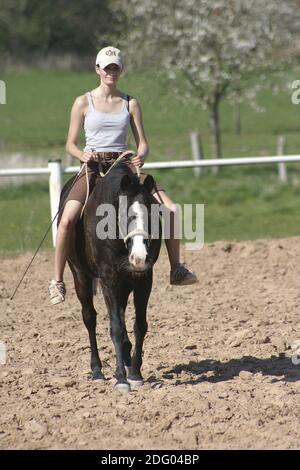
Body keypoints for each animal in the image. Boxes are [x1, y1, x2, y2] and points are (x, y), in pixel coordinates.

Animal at [59, 163, 162, 392]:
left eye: (153, 214)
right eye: (124, 215)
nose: (139, 257)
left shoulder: (144, 280)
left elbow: (139, 325)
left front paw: (135, 373)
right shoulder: (109, 280)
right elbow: (115, 327)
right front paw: (121, 379)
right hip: (81, 277)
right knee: (90, 318)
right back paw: (97, 371)